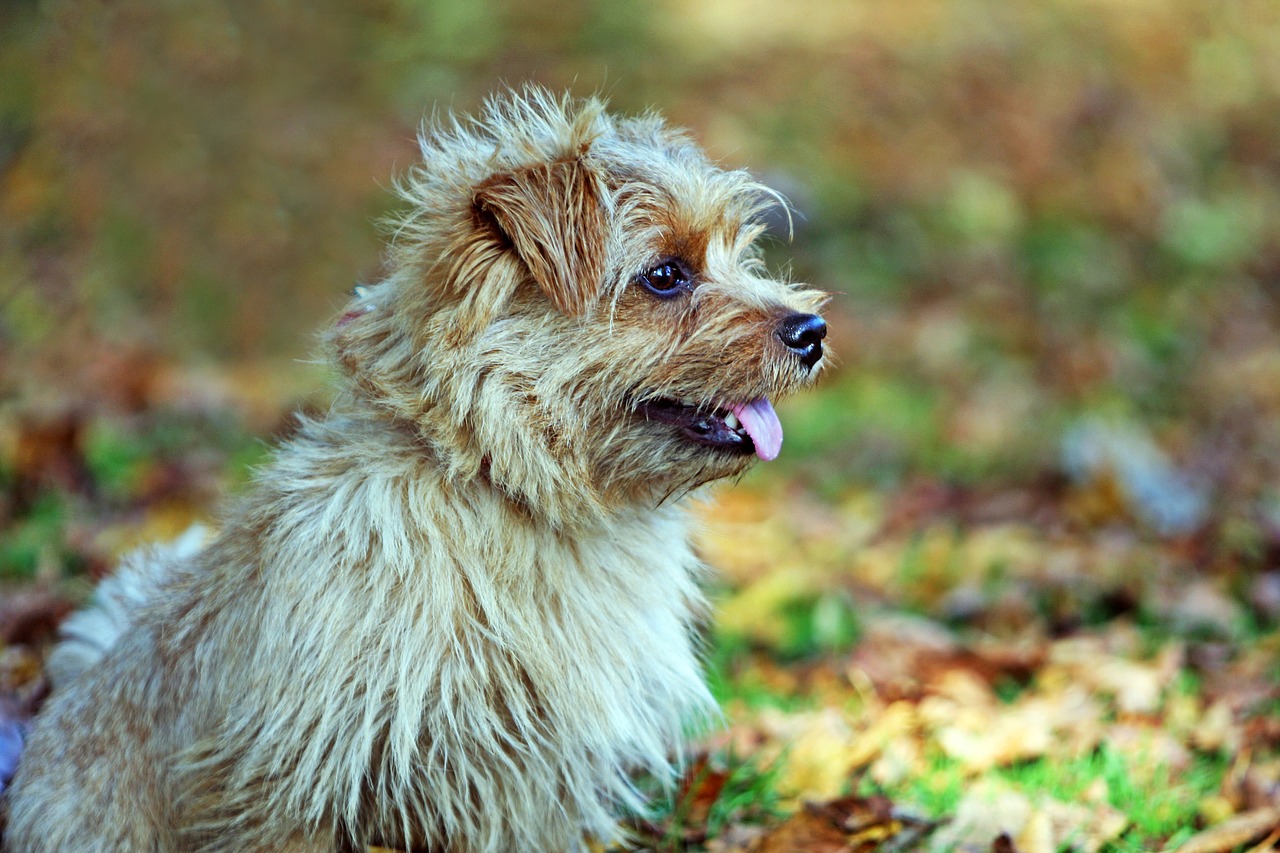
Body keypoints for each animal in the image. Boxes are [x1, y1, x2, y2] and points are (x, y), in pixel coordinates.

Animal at [5, 87, 829, 850]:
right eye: (664, 275)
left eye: (737, 255)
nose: (813, 329)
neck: (504, 489)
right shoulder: (284, 780)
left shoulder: (529, 789)